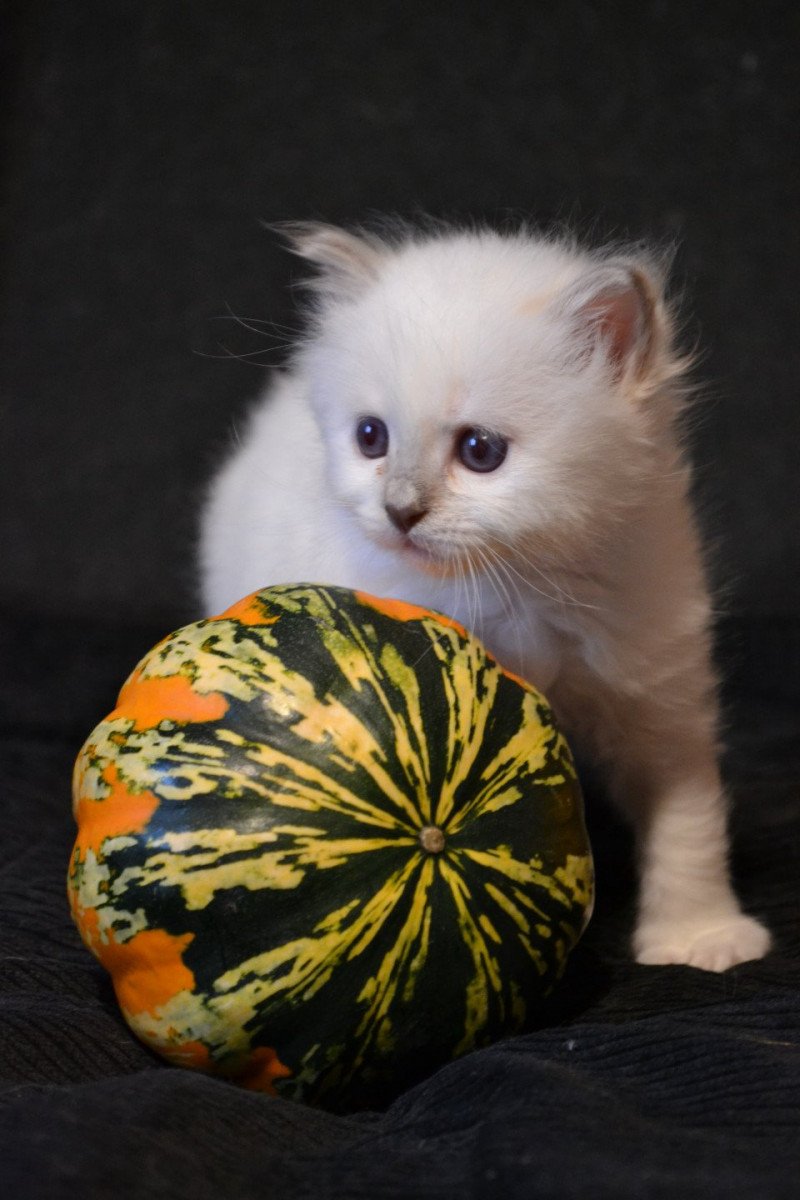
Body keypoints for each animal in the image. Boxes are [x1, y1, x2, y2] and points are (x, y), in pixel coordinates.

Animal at [199, 223, 767, 974]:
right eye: (371, 438)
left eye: (479, 450)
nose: (399, 510)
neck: (520, 590)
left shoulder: (658, 690)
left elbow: (688, 824)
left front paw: (698, 936)